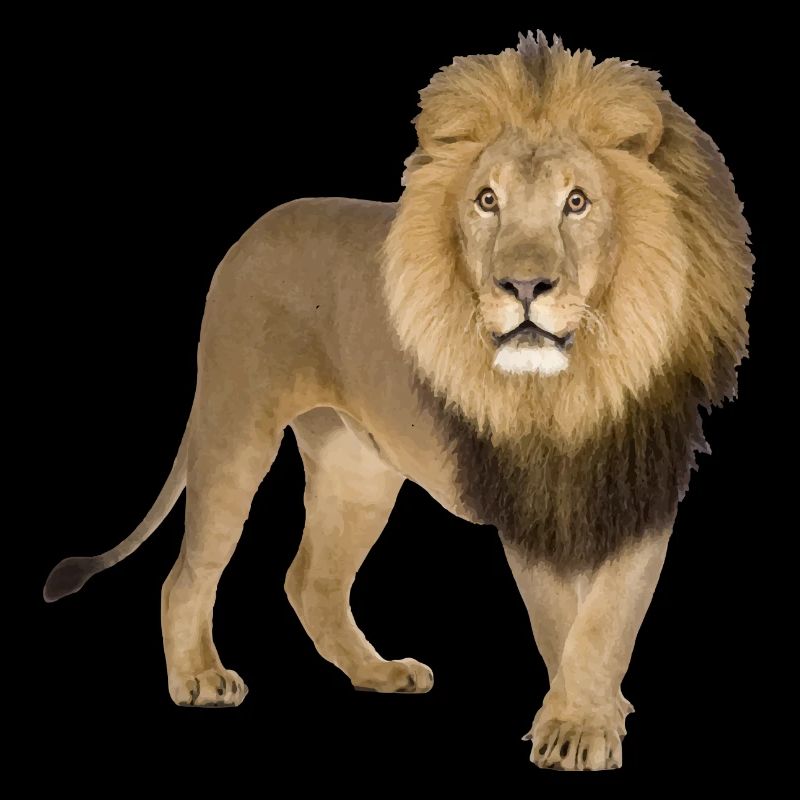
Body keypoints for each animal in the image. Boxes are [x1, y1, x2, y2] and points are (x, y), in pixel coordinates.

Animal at [43, 32, 752, 771]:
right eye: (487, 201)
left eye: (578, 202)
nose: (523, 285)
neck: (579, 380)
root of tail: (251, 233)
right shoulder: (524, 498)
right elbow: (563, 621)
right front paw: (576, 726)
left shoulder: (641, 486)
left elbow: (608, 619)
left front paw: (592, 716)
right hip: (236, 428)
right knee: (188, 572)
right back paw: (199, 679)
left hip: (357, 468)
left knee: (311, 581)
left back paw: (379, 673)